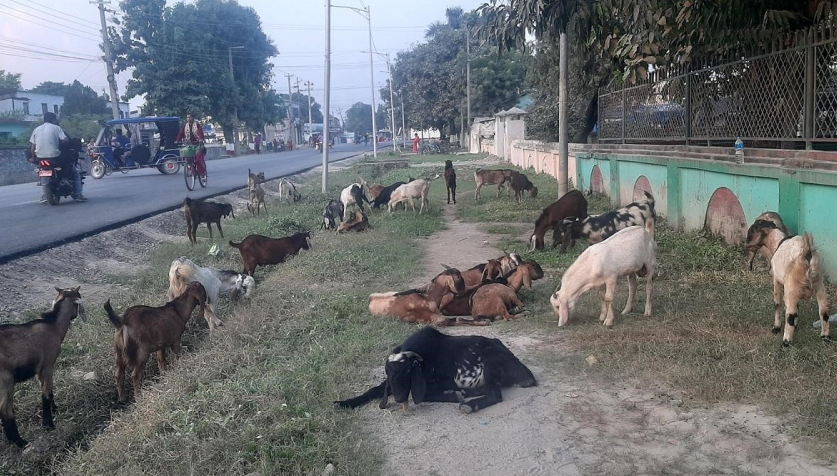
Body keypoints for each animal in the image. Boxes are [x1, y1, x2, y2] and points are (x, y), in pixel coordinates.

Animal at [334, 328, 536, 412]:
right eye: (388, 373)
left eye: (407, 371)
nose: (398, 398)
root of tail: (524, 371)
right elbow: (373, 390)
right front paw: (344, 403)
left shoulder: (444, 380)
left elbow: (424, 395)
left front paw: (453, 395)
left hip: (490, 365)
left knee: (495, 393)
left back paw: (469, 404)